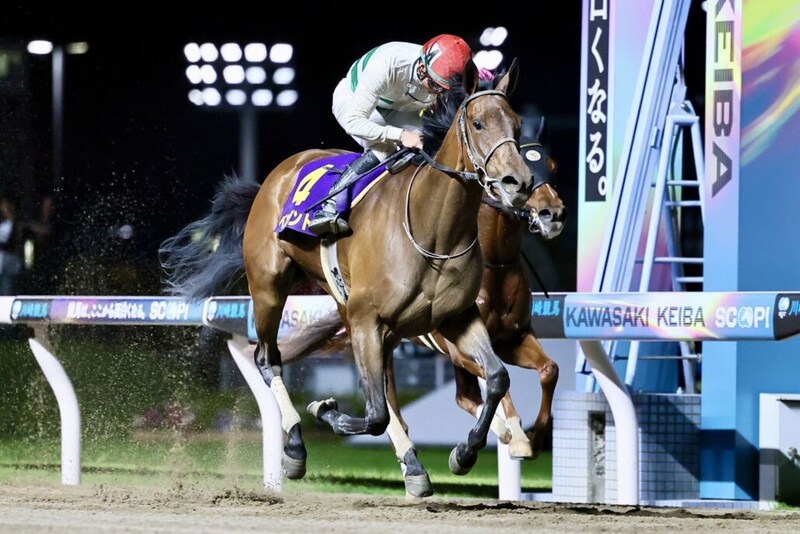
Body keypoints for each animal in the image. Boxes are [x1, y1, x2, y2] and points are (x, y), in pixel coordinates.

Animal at [159, 59, 534, 493]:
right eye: (477, 122)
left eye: (517, 124)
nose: (519, 183)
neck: (432, 228)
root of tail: (277, 175)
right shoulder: (367, 319)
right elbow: (374, 414)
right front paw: (325, 409)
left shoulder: (456, 318)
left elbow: (497, 377)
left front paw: (465, 452)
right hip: (270, 287)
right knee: (268, 359)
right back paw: (295, 448)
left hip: (344, 303)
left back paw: (413, 467)